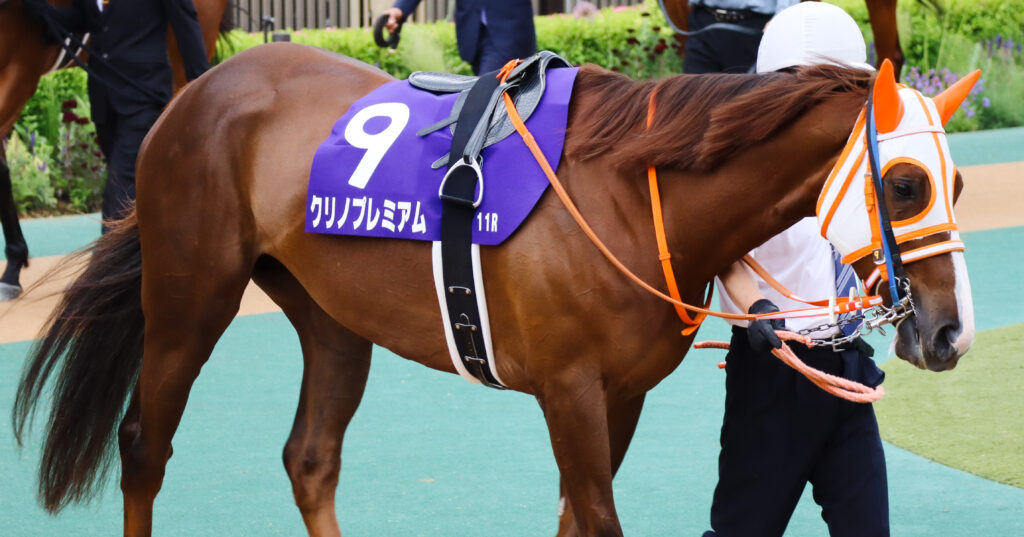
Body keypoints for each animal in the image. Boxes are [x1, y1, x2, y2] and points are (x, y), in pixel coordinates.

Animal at [13, 43, 976, 537]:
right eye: (903, 184)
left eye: (957, 183)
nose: (950, 333)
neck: (631, 191)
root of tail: (202, 89)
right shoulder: (570, 390)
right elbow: (597, 518)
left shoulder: (616, 395)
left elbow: (575, 516)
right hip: (190, 296)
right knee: (144, 444)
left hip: (332, 317)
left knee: (310, 458)